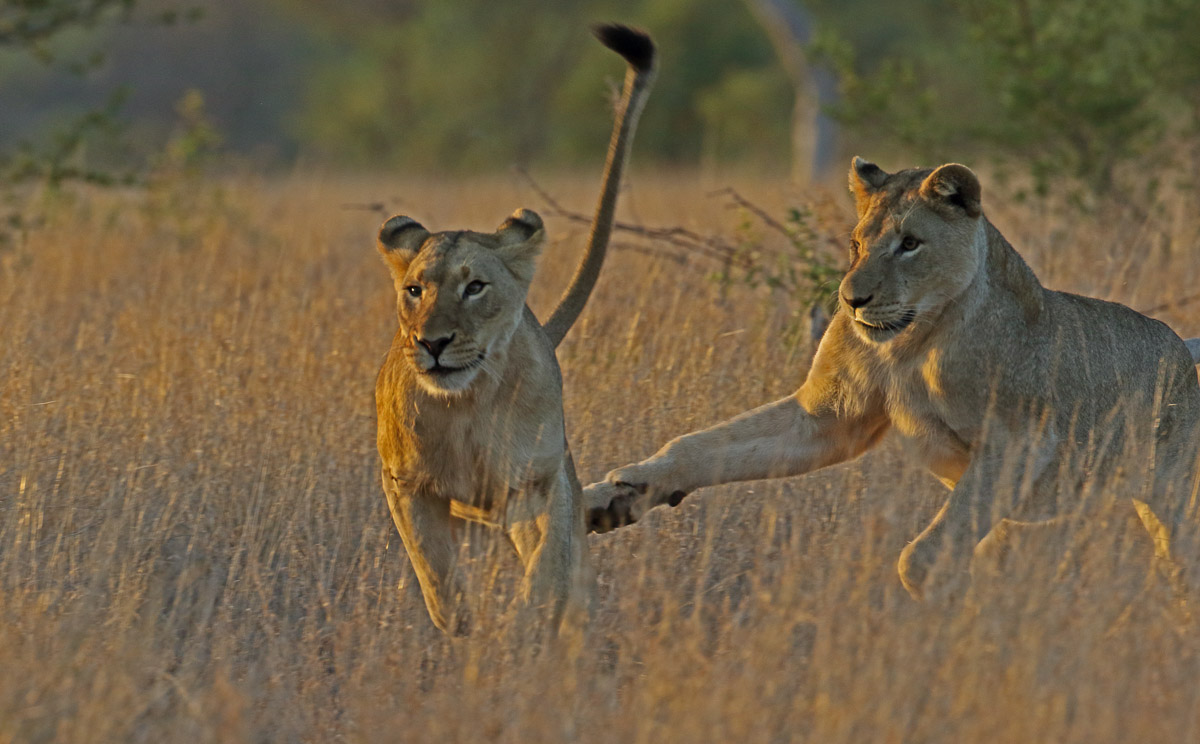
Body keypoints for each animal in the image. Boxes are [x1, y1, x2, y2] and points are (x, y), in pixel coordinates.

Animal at [374, 24, 655, 633]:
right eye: (415, 290)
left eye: (475, 287)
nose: (432, 343)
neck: (464, 405)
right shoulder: (406, 484)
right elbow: (434, 571)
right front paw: (463, 626)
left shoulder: (534, 485)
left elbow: (549, 564)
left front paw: (527, 623)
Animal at [587, 157, 1200, 601]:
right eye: (857, 244)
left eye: (910, 244)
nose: (851, 299)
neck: (910, 344)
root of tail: (1181, 347)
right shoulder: (828, 418)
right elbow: (701, 447)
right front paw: (620, 491)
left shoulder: (1020, 441)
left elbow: (920, 557)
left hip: (1174, 502)